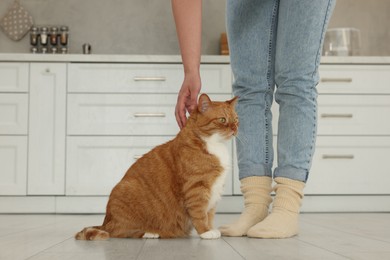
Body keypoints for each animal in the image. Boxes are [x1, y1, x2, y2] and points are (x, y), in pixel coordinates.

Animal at [74, 93, 238, 240]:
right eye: (222, 120)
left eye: (236, 120)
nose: (234, 129)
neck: (214, 145)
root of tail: (106, 220)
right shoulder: (196, 188)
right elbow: (200, 214)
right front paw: (205, 232)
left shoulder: (214, 191)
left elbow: (209, 214)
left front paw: (211, 228)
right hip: (125, 190)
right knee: (118, 231)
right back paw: (150, 233)